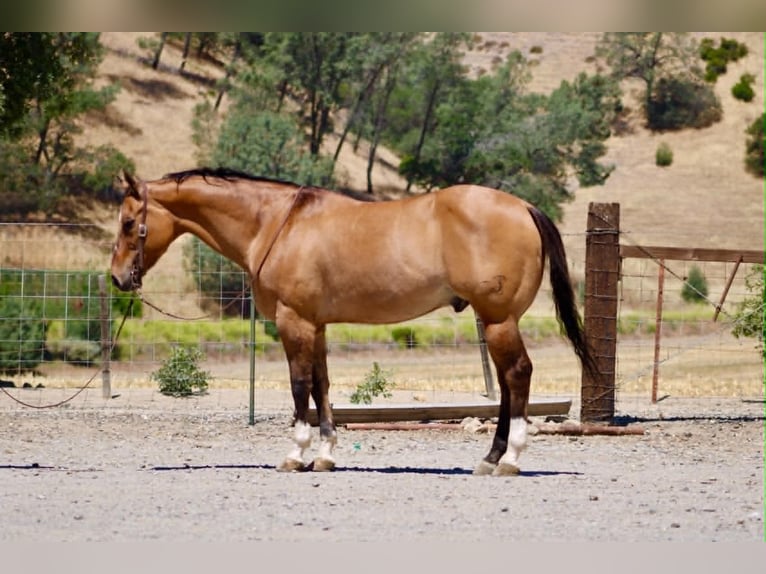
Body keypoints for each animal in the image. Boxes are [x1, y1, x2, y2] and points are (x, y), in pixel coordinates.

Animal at [110, 167, 594, 476]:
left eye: (130, 222)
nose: (117, 278)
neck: (276, 223)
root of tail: (524, 207)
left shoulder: (294, 322)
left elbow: (299, 386)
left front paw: (296, 454)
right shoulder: (316, 325)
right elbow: (322, 387)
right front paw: (325, 455)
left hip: (498, 319)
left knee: (517, 375)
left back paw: (509, 460)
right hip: (495, 321)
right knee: (509, 384)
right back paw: (492, 458)